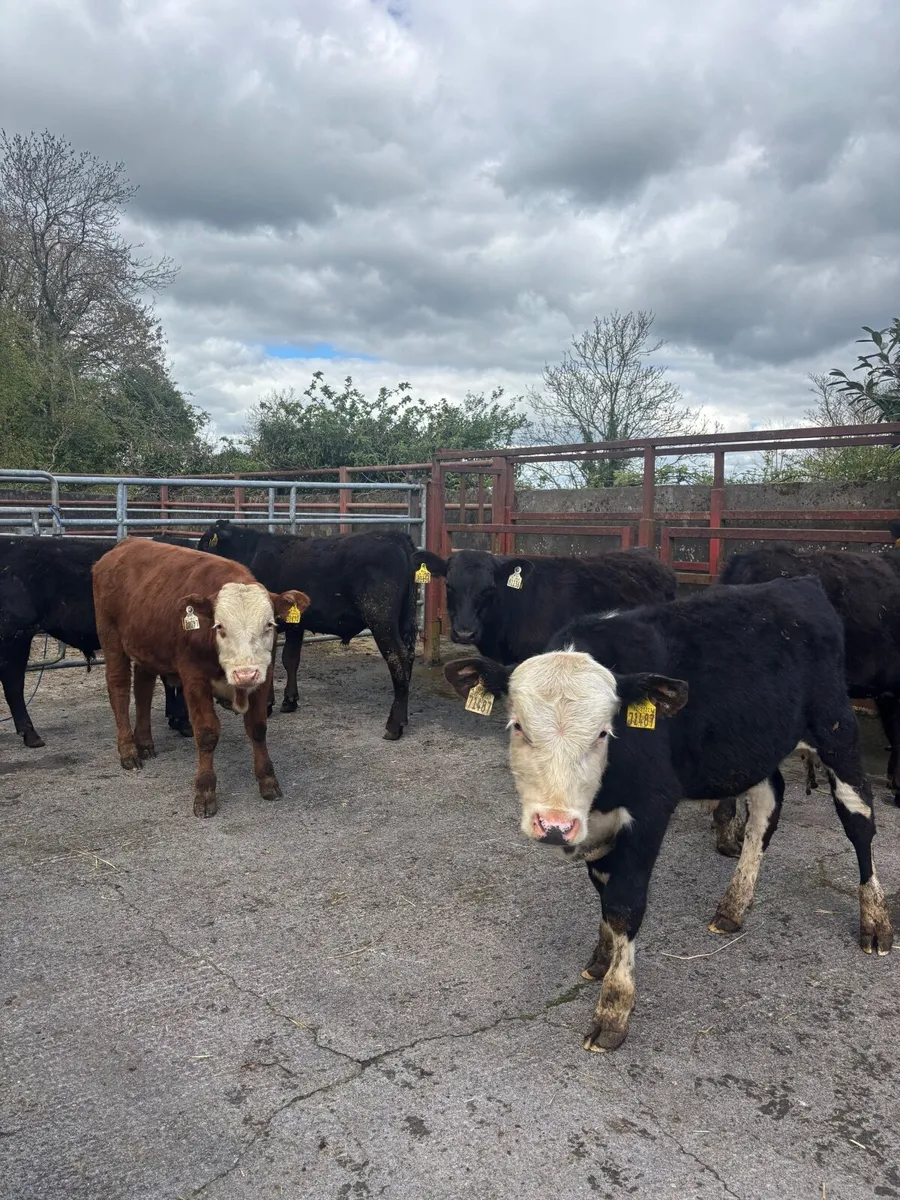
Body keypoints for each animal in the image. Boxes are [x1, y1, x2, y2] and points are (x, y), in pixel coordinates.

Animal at [92, 538, 309, 817]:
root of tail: (126, 544)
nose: (245, 673)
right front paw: (204, 792)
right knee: (118, 687)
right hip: (111, 638)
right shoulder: (194, 679)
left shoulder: (264, 676)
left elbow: (258, 728)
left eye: (270, 625)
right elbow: (206, 734)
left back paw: (145, 742)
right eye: (220, 627)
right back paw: (128, 750)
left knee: (143, 688)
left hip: (146, 647)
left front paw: (268, 780)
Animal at [197, 520, 418, 740]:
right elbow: (290, 660)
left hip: (381, 620)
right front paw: (289, 700)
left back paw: (394, 725)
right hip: (405, 622)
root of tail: (395, 536)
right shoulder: (296, 625)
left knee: (398, 659)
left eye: (205, 544)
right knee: (409, 658)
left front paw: (267, 704)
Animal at [443, 576, 892, 1054]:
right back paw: (734, 904)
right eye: (518, 727)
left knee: (859, 819)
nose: (554, 825)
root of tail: (800, 584)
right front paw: (602, 957)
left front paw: (614, 1009)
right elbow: (603, 888)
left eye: (604, 732)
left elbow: (624, 903)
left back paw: (875, 920)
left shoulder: (651, 808)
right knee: (768, 805)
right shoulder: (598, 825)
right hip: (754, 745)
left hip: (836, 729)